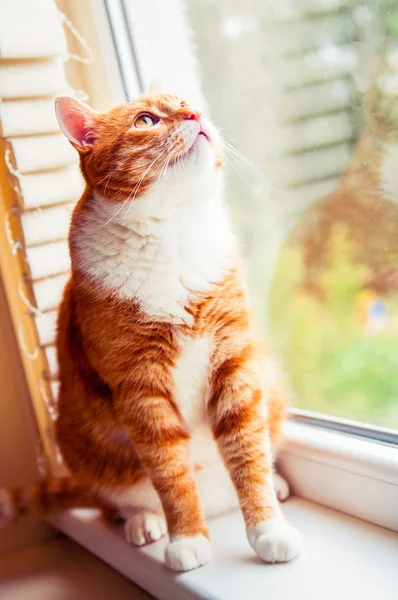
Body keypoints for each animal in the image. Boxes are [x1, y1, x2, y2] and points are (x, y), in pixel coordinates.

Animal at [0, 90, 300, 572]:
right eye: (145, 120)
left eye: (189, 103)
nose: (196, 114)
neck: (172, 234)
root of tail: (218, 503)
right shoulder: (140, 389)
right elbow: (172, 477)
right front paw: (187, 539)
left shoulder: (234, 361)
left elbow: (248, 453)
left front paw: (268, 528)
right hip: (82, 446)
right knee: (114, 505)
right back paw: (144, 522)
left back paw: (275, 485)